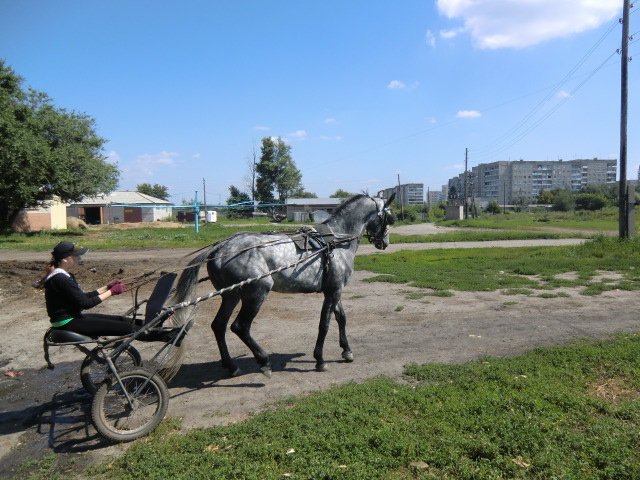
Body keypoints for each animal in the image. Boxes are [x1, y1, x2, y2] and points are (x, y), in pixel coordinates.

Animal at [175, 193, 396, 376]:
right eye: (389, 217)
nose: (384, 242)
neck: (336, 240)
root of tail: (220, 248)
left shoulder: (334, 289)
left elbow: (341, 318)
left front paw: (347, 351)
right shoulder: (333, 291)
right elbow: (324, 325)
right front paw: (320, 359)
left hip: (231, 295)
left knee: (219, 326)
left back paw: (231, 365)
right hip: (257, 293)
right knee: (240, 327)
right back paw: (263, 360)